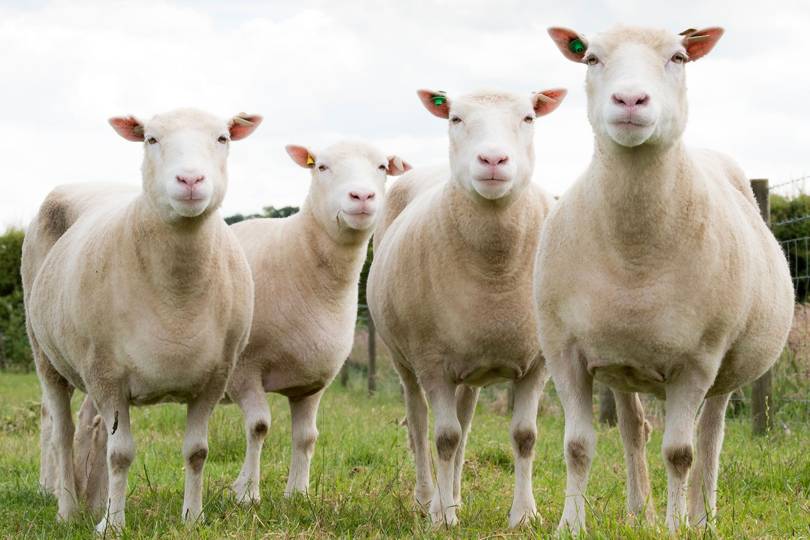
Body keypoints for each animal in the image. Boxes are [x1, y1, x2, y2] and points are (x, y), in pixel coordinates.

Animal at [21, 108, 261, 533]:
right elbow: (121, 454)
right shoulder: (107, 376)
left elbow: (197, 451)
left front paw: (192, 518)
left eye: (222, 138)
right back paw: (68, 510)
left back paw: (95, 502)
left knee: (96, 431)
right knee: (63, 433)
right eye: (151, 138)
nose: (190, 180)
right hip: (46, 354)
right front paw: (113, 526)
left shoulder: (214, 378)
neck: (178, 294)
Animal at [227, 141, 410, 503]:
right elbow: (259, 426)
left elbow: (306, 437)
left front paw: (297, 493)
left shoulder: (312, 381)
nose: (362, 196)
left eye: (382, 166)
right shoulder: (245, 370)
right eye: (321, 166)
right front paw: (248, 493)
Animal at [367, 88, 566, 527]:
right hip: (405, 360)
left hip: (470, 371)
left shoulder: (537, 362)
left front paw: (524, 515)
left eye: (528, 117)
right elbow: (443, 437)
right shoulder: (431, 361)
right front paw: (442, 519)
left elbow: (524, 436)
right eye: (455, 118)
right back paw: (429, 499)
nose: (492, 160)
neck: (495, 267)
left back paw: (454, 496)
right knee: (420, 424)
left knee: (465, 425)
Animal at [535, 26, 794, 533]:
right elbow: (577, 446)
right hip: (619, 362)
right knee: (634, 428)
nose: (630, 99)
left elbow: (680, 453)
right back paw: (640, 512)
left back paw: (701, 516)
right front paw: (570, 525)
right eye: (590, 58)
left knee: (709, 436)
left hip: (725, 369)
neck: (635, 252)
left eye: (679, 58)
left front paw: (676, 528)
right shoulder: (565, 350)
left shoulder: (696, 361)